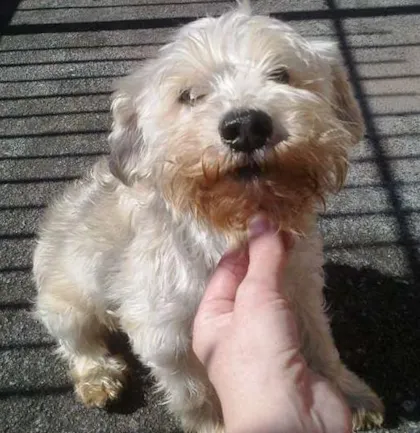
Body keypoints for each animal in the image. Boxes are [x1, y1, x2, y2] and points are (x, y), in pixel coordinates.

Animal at [33, 2, 384, 431]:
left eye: (281, 74)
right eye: (189, 96)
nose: (246, 126)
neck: (230, 223)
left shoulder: (301, 285)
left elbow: (319, 343)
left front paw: (348, 395)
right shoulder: (164, 331)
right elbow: (193, 392)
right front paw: (212, 423)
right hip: (64, 302)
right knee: (76, 341)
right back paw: (98, 375)